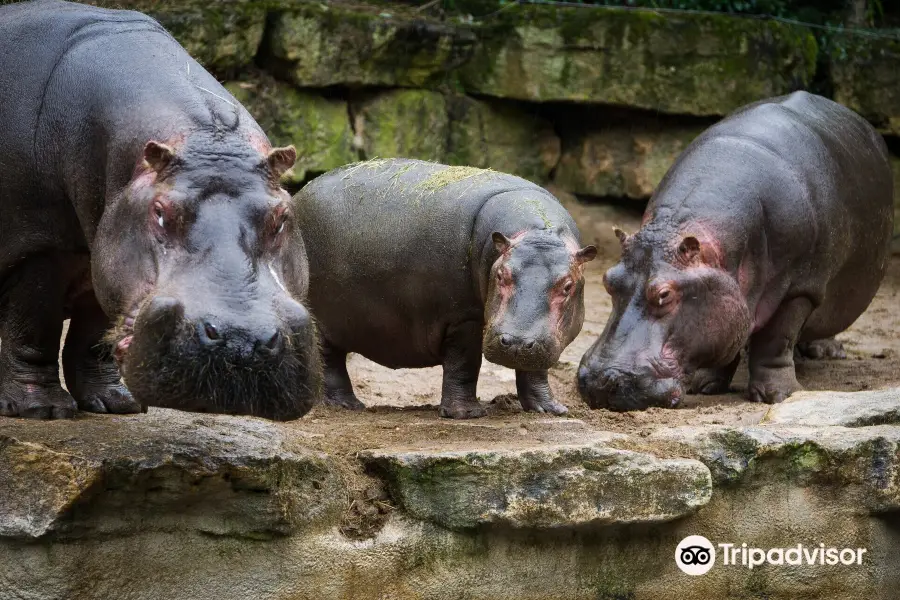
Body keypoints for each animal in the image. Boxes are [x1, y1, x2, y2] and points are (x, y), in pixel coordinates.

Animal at [0, 1, 322, 422]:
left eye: (282, 217)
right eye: (160, 211)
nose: (241, 341)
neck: (208, 138)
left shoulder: (105, 256)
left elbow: (94, 335)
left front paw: (117, 403)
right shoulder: (39, 246)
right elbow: (33, 327)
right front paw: (43, 409)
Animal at [292, 162, 596, 420]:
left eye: (568, 285)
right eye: (501, 275)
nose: (518, 342)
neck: (537, 234)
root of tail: (298, 196)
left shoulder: (545, 336)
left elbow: (536, 369)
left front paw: (551, 410)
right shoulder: (463, 318)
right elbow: (465, 364)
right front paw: (466, 414)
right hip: (318, 315)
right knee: (329, 360)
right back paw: (347, 405)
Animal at [576, 92, 892, 412]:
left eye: (664, 294)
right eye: (608, 280)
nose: (600, 382)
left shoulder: (801, 287)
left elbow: (777, 339)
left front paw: (778, 396)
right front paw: (704, 385)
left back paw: (824, 350)